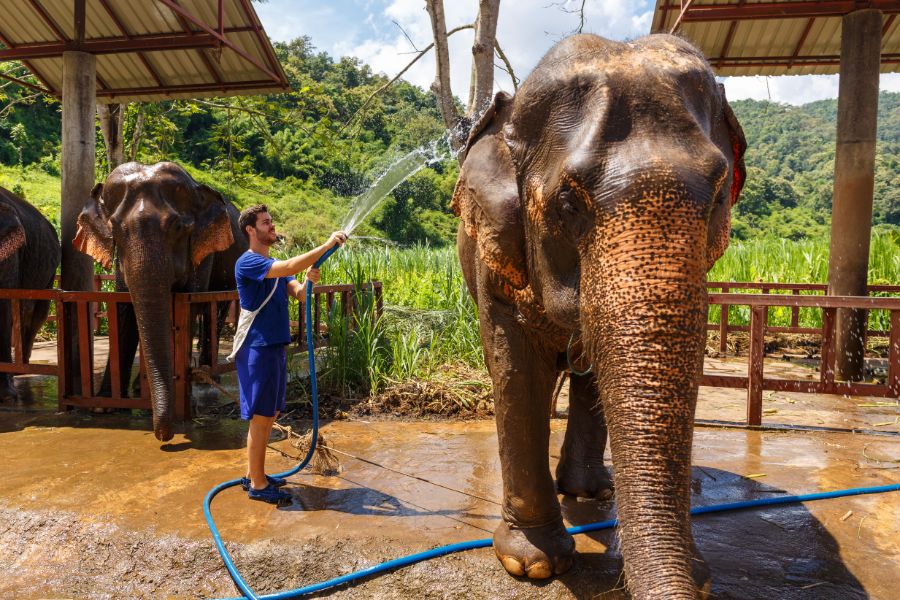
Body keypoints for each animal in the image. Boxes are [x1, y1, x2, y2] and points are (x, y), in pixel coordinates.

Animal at [74, 162, 246, 442]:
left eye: (177, 228)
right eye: (115, 229)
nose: (164, 436)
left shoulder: (201, 253)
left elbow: (187, 305)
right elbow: (125, 310)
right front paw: (104, 406)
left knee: (216, 311)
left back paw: (206, 375)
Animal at [454, 35, 748, 596]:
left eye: (720, 194)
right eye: (569, 202)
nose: (698, 580)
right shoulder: (494, 255)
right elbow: (515, 367)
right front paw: (534, 564)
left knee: (589, 374)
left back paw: (590, 491)